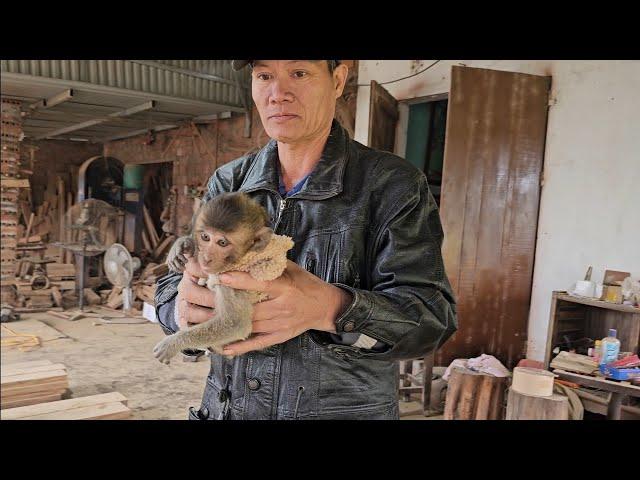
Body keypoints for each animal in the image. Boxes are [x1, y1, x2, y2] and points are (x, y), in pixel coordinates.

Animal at [152, 191, 292, 364]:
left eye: (222, 243)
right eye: (205, 237)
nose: (206, 258)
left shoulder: (231, 285)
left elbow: (236, 324)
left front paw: (174, 342)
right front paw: (183, 244)